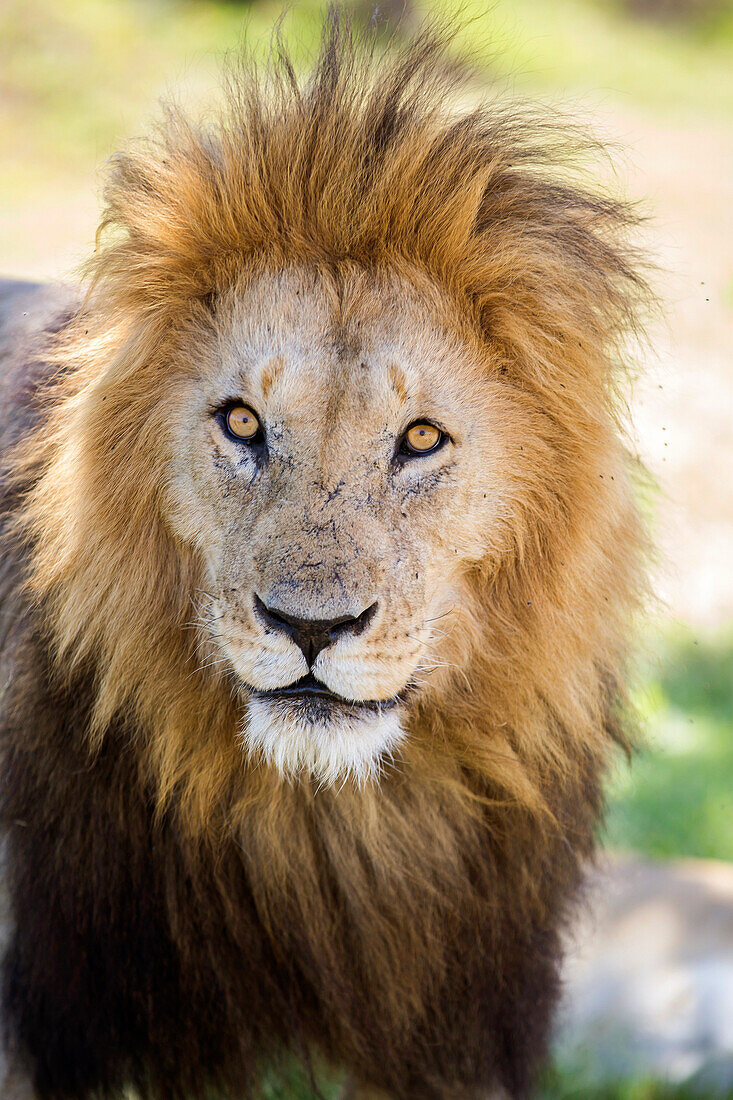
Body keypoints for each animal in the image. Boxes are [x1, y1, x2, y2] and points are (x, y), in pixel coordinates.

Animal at [0, 15, 651, 1100]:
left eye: (420, 439)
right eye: (241, 422)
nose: (311, 627)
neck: (319, 826)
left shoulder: (455, 1029)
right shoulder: (67, 1013)